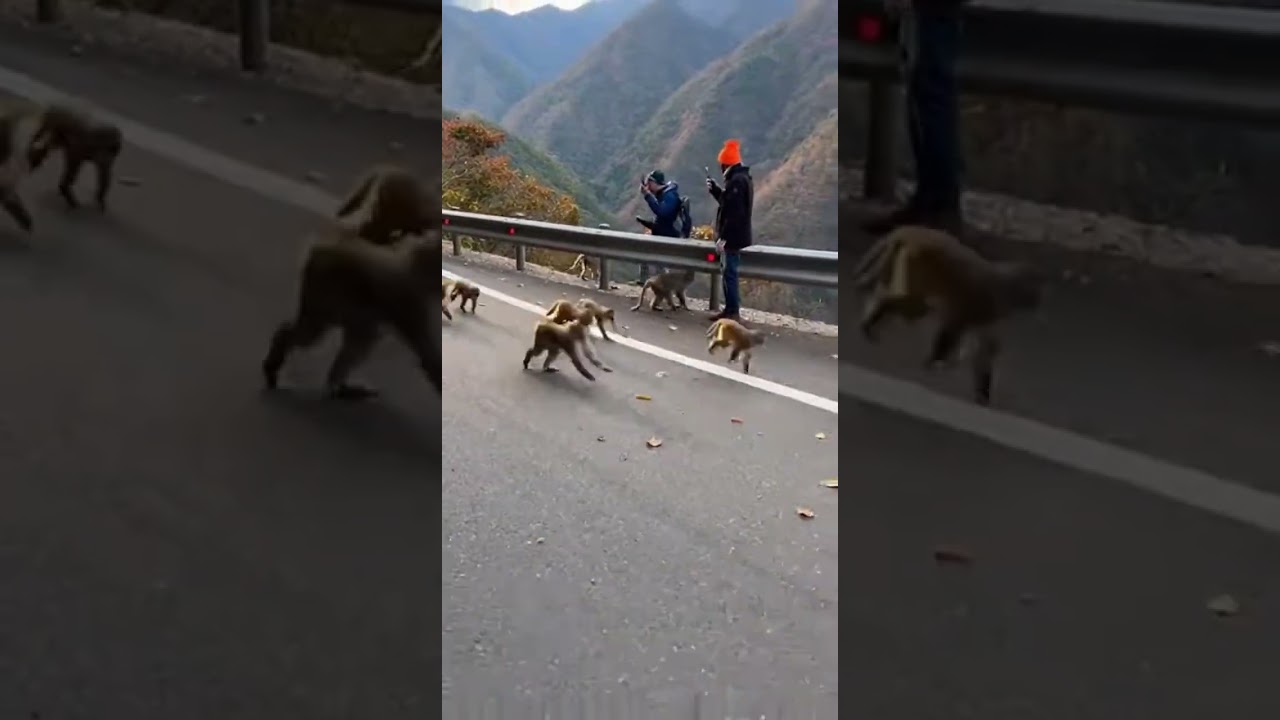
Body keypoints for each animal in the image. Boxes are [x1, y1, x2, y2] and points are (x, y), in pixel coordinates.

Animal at [261, 225, 444, 400]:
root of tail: (319, 249)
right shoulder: (410, 298)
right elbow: (426, 352)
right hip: (328, 289)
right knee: (312, 334)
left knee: (362, 334)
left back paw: (340, 386)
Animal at [851, 225, 1044, 406]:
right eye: (1033, 292)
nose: (1038, 303)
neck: (1004, 290)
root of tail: (912, 231)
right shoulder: (983, 303)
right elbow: (953, 327)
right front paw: (936, 360)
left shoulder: (990, 314)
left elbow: (984, 349)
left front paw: (982, 393)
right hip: (917, 260)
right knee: (913, 305)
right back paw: (876, 318)